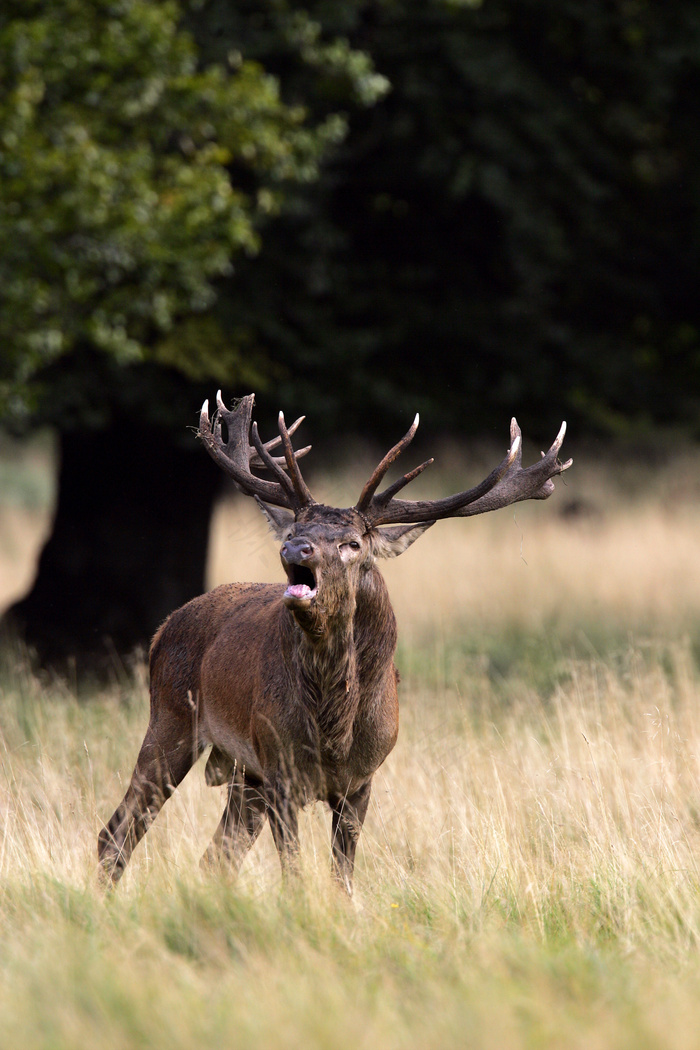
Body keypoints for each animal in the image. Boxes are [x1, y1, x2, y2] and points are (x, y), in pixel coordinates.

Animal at [97, 394, 570, 894]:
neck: (334, 732)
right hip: (172, 718)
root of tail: (162, 629)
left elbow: (342, 878)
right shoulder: (280, 770)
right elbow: (295, 876)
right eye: (291, 533)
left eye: (352, 543)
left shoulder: (360, 781)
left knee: (214, 858)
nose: (296, 549)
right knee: (117, 834)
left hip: (243, 773)